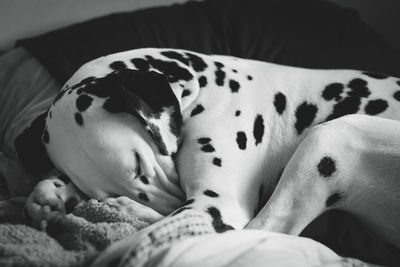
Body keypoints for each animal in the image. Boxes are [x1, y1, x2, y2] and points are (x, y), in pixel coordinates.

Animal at [15, 48, 400, 251]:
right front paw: (51, 194)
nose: (173, 201)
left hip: (331, 136)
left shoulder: (215, 204)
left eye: (139, 165)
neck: (203, 87)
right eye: (100, 190)